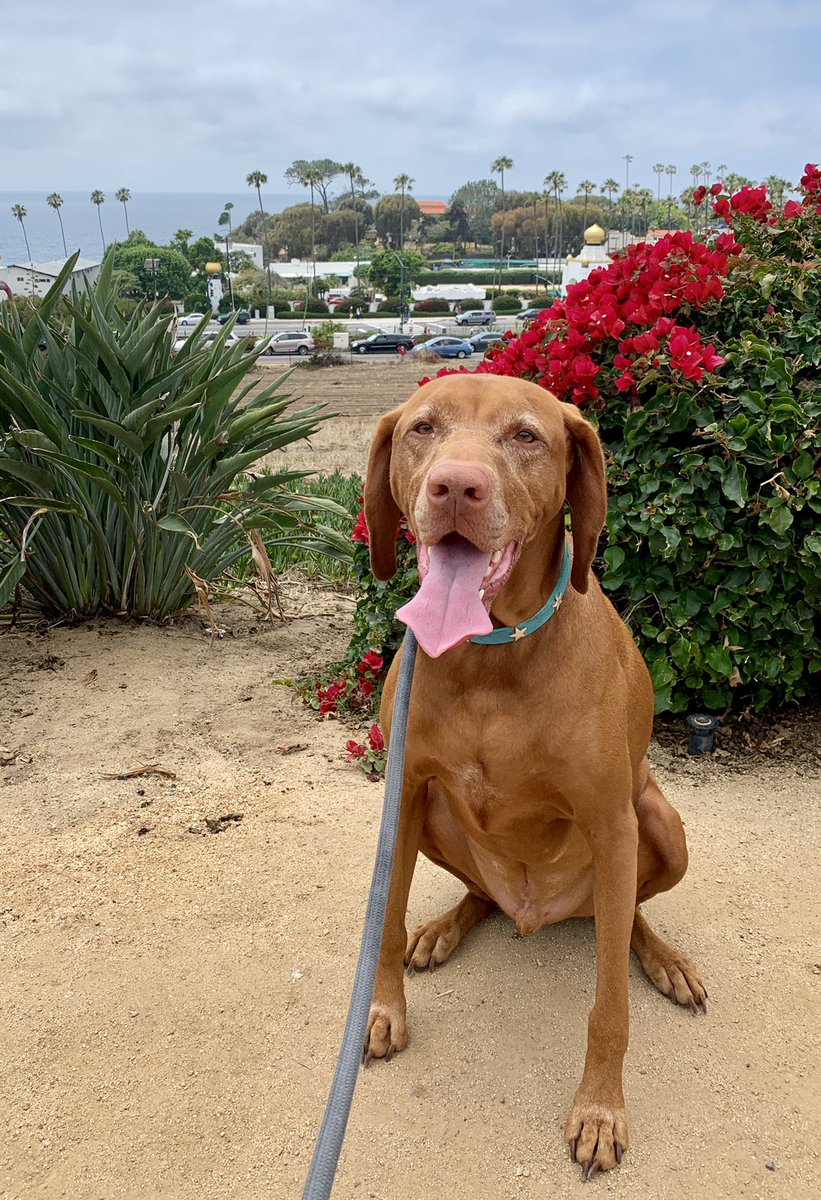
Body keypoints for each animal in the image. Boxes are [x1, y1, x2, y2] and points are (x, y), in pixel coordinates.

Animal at [360, 369, 705, 1176]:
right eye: (423, 427)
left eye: (525, 435)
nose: (456, 487)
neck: (489, 654)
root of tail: (537, 913)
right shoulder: (405, 794)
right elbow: (385, 920)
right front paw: (384, 1009)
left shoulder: (611, 820)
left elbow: (609, 1004)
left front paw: (600, 1110)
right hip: (440, 823)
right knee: (481, 894)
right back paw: (446, 928)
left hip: (658, 825)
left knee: (627, 915)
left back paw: (664, 960)